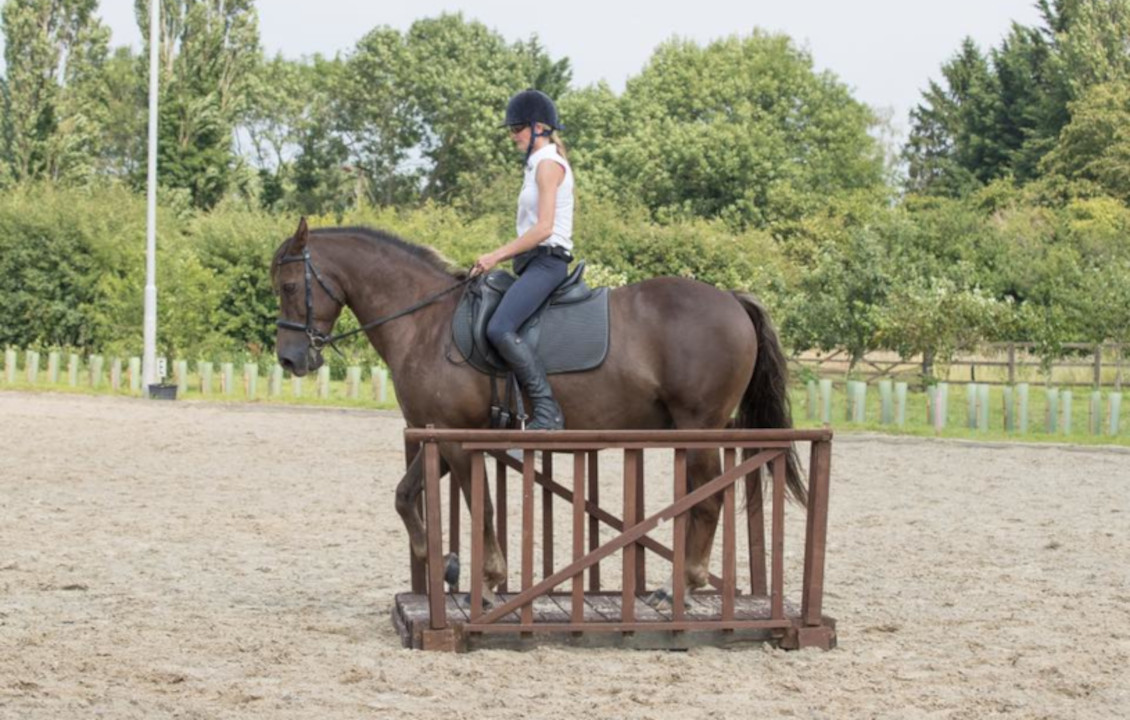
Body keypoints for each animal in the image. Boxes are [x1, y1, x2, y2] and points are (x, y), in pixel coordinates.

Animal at [271, 217, 804, 606]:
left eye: (291, 285)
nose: (290, 360)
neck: (424, 322)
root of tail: (731, 299)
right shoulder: (437, 434)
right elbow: (405, 496)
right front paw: (442, 562)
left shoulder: (459, 437)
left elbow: (482, 507)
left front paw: (487, 579)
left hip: (700, 426)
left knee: (709, 501)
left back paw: (683, 586)